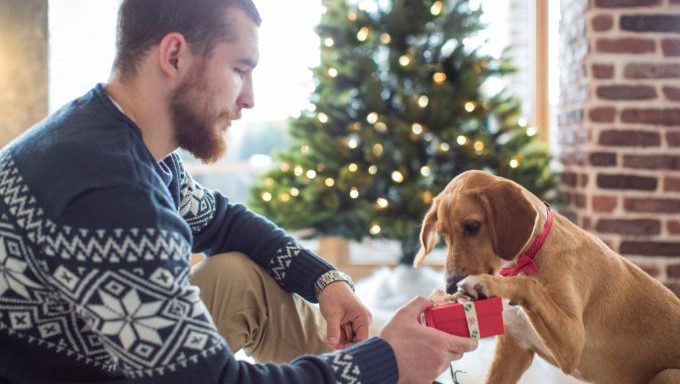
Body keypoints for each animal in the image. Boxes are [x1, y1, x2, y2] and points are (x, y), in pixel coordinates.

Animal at [412, 171, 680, 384]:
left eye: (473, 226)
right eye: (443, 235)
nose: (449, 286)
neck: (527, 257)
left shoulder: (574, 342)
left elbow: (529, 284)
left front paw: (486, 284)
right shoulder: (512, 351)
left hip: (666, 374)